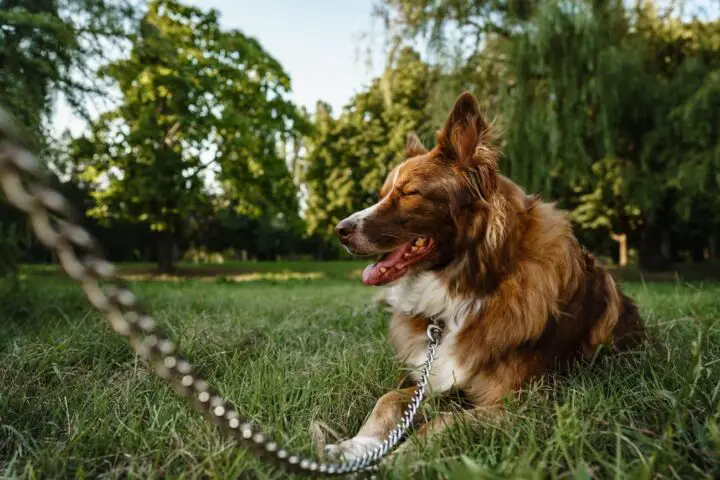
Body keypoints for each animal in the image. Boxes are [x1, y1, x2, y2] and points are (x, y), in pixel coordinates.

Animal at [324, 91, 644, 462]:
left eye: (409, 193)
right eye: (382, 194)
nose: (340, 230)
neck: (472, 286)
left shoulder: (522, 404)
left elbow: (442, 422)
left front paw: (395, 459)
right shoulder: (429, 379)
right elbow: (386, 399)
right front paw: (355, 446)